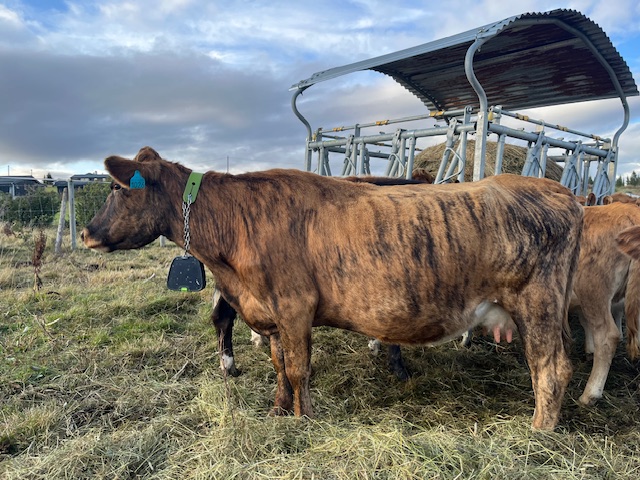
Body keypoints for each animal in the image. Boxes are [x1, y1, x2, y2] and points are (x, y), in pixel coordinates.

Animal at [82, 146, 583, 430]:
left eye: (117, 188)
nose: (86, 233)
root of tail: (560, 192)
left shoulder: (295, 307)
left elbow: (299, 369)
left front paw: (303, 419)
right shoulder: (271, 314)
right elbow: (279, 365)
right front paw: (278, 412)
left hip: (538, 304)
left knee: (552, 368)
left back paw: (539, 431)